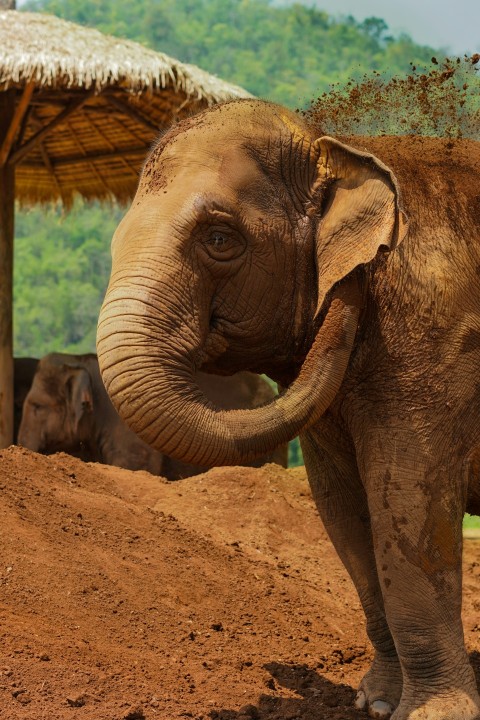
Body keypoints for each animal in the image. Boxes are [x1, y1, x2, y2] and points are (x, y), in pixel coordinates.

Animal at [96, 98, 480, 720]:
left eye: (220, 239)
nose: (346, 289)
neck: (342, 149)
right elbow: (345, 511)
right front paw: (374, 702)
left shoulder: (439, 337)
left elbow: (408, 500)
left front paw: (431, 715)